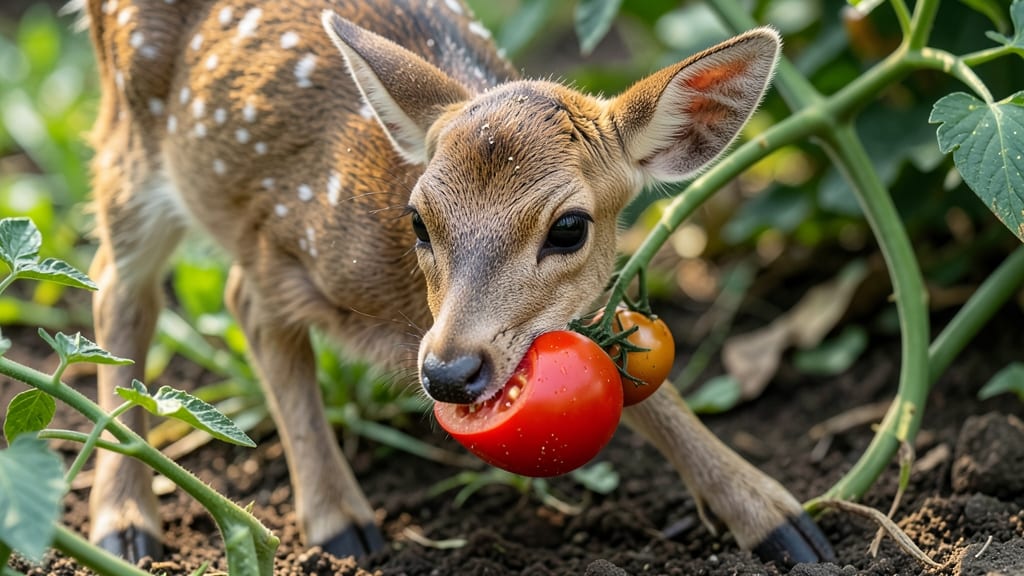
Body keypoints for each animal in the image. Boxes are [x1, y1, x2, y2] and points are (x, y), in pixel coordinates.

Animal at [80, 0, 836, 567]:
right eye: (418, 218)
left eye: (570, 228)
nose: (447, 372)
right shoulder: (275, 240)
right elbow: (260, 326)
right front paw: (338, 524)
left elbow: (644, 388)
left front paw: (781, 520)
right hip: (130, 136)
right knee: (120, 289)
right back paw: (125, 524)